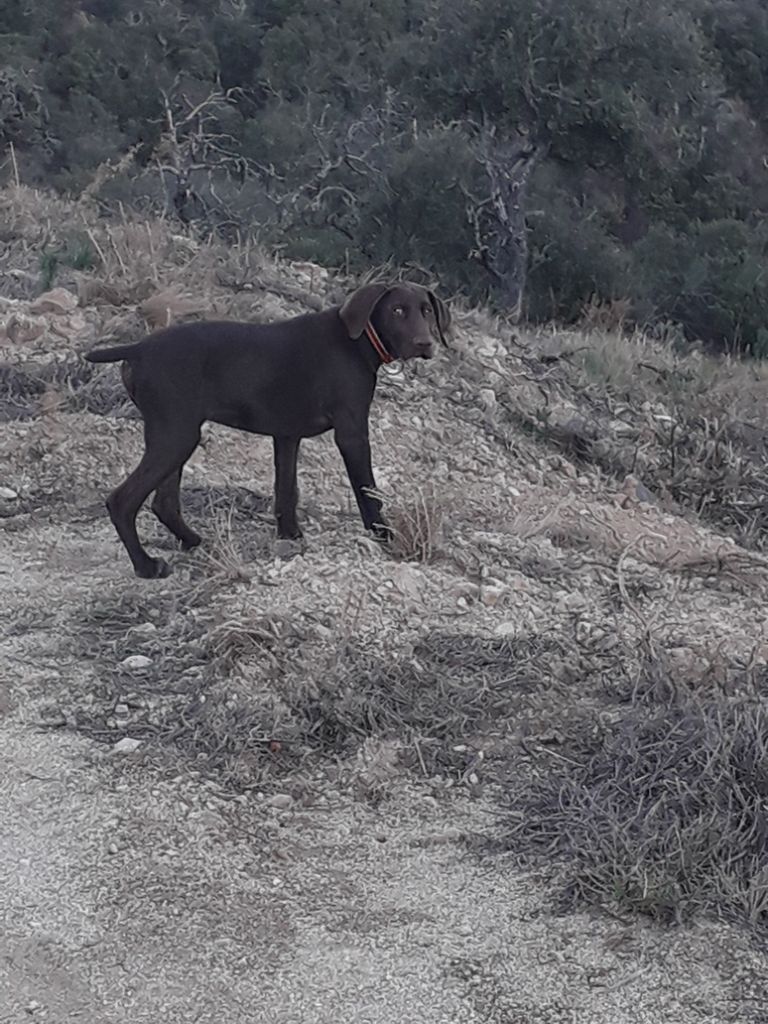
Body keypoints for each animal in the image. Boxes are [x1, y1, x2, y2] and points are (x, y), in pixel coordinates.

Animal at [85, 284, 450, 581]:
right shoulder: (352, 433)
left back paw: (192, 541)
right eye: (397, 310)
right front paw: (383, 534)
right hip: (176, 435)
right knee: (122, 501)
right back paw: (146, 566)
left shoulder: (286, 435)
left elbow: (286, 491)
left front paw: (290, 535)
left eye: (427, 310)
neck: (357, 342)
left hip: (173, 435)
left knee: (164, 503)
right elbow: (368, 490)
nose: (425, 343)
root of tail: (138, 348)